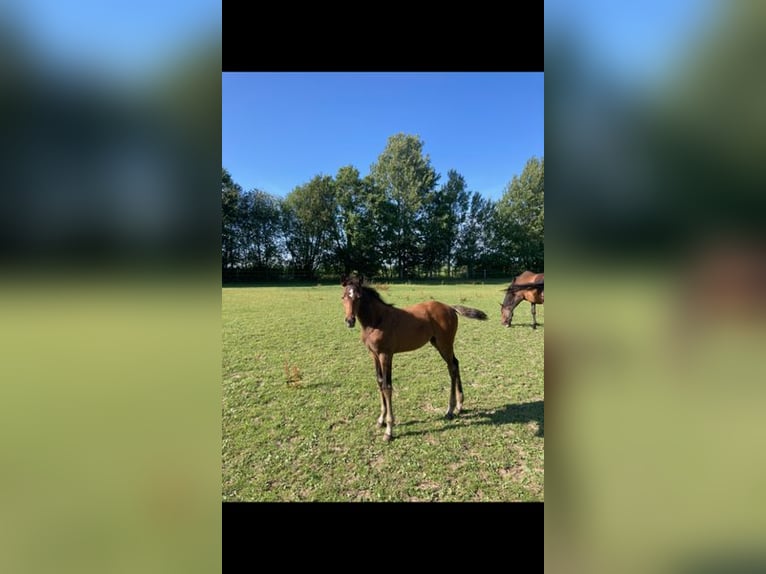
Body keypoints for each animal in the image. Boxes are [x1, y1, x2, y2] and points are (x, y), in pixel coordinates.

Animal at [340, 276, 486, 444]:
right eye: (343, 297)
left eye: (358, 297)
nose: (349, 321)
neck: (377, 320)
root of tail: (450, 307)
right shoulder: (374, 355)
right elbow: (379, 382)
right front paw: (380, 420)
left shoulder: (386, 355)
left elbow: (387, 387)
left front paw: (389, 430)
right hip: (438, 343)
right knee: (455, 364)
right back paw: (459, 406)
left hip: (445, 343)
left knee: (452, 368)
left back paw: (450, 409)